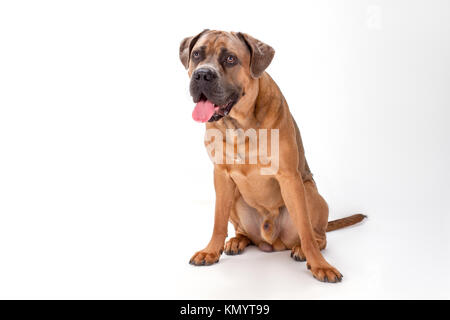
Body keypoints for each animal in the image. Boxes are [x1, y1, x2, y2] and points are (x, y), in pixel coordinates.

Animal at [179, 28, 366, 282]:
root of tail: (270, 242)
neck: (239, 125)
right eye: (197, 54)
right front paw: (211, 251)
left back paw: (301, 250)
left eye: (230, 59)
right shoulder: (221, 176)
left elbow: (306, 230)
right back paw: (238, 241)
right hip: (235, 196)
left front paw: (320, 264)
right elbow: (218, 221)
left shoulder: (289, 177)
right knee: (243, 231)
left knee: (316, 235)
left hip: (309, 193)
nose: (202, 75)